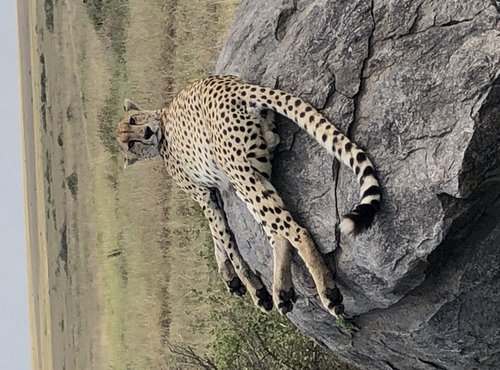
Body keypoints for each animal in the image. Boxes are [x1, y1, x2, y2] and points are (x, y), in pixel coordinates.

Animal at [116, 74, 382, 318]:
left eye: (133, 120)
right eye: (128, 143)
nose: (146, 132)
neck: (161, 124)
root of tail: (232, 85)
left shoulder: (206, 196)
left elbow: (224, 239)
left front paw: (252, 288)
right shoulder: (213, 194)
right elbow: (219, 238)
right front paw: (231, 279)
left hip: (239, 175)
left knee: (294, 230)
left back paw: (328, 293)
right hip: (253, 173)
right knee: (278, 230)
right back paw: (282, 291)